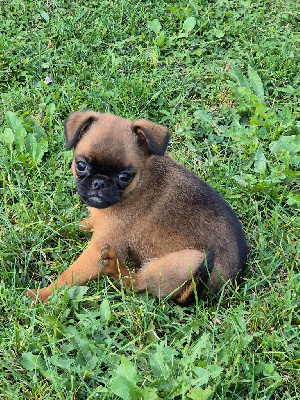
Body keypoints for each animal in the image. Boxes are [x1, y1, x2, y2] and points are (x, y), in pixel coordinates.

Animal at [27, 111, 247, 304]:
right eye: (81, 165)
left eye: (124, 177)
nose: (99, 182)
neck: (139, 184)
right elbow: (83, 224)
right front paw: (56, 227)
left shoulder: (98, 249)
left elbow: (69, 276)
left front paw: (42, 294)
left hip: (189, 261)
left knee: (133, 283)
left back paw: (114, 267)